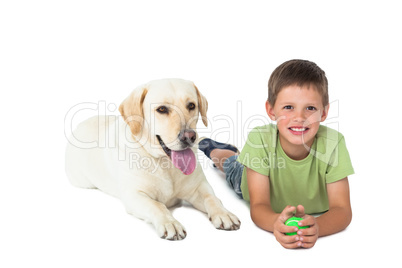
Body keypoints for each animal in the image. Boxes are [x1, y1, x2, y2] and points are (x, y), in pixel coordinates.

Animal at [65, 78, 240, 240]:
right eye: (162, 109)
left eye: (191, 105)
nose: (189, 136)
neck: (166, 163)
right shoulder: (134, 195)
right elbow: (157, 205)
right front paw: (170, 223)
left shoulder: (199, 187)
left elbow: (212, 198)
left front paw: (224, 213)